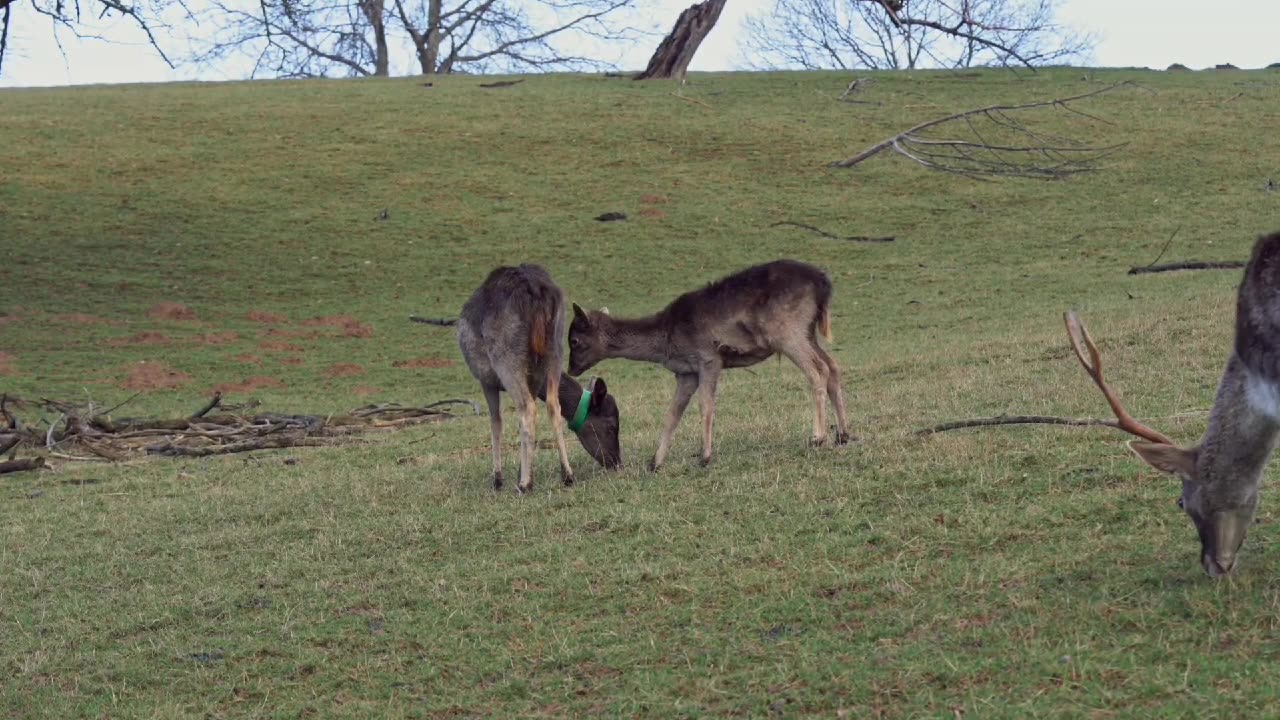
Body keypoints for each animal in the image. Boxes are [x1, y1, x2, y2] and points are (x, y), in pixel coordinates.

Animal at [458, 263, 622, 491]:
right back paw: (567, 475)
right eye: (612, 426)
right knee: (553, 405)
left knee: (527, 408)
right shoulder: (534, 381)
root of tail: (534, 292)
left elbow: (496, 421)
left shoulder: (486, 379)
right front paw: (524, 470)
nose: (618, 463)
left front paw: (499, 479)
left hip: (507, 358)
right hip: (556, 347)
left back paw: (525, 485)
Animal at [568, 257, 849, 471]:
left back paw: (818, 437)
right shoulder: (686, 373)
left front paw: (704, 457)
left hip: (787, 331)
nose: (571, 369)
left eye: (574, 340)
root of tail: (823, 284)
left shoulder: (709, 358)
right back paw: (843, 434)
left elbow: (706, 406)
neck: (666, 340)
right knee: (833, 366)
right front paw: (655, 463)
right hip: (808, 331)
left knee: (817, 370)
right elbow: (672, 414)